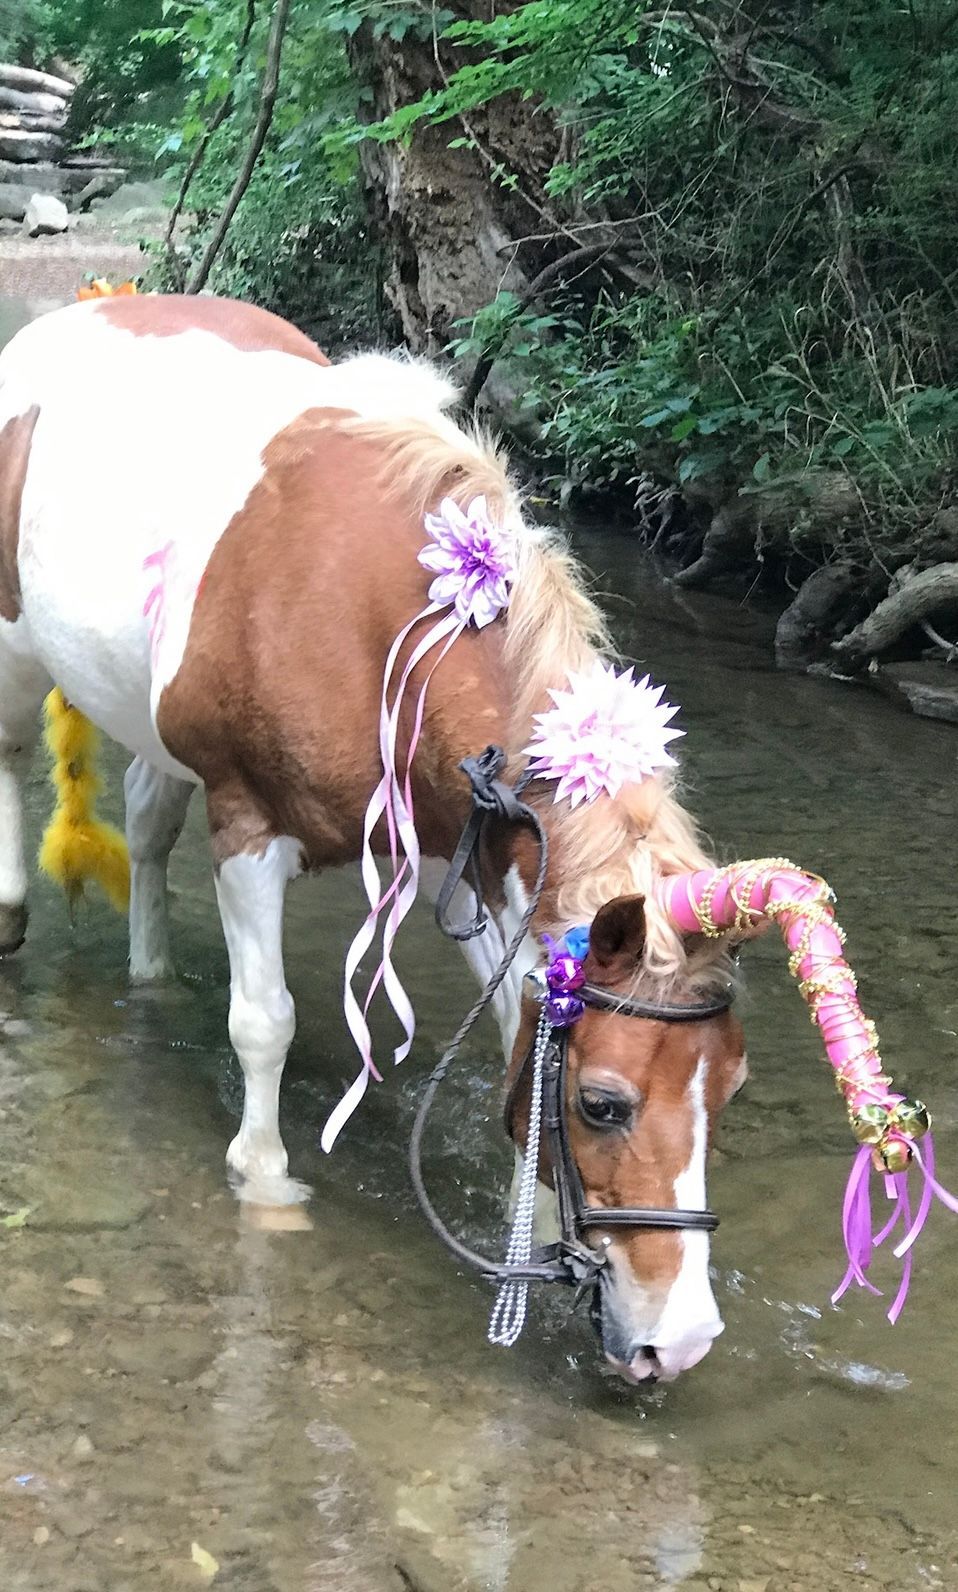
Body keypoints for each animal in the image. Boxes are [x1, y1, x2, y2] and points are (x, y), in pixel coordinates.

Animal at [0, 291, 753, 1385]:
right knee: (15, 751)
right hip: (15, 647)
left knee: (146, 819)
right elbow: (263, 1020)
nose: (680, 1338)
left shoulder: (472, 859)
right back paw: (12, 911)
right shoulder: (249, 827)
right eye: (604, 1103)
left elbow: (511, 1030)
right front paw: (265, 1173)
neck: (381, 618)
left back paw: (149, 972)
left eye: (726, 1088)